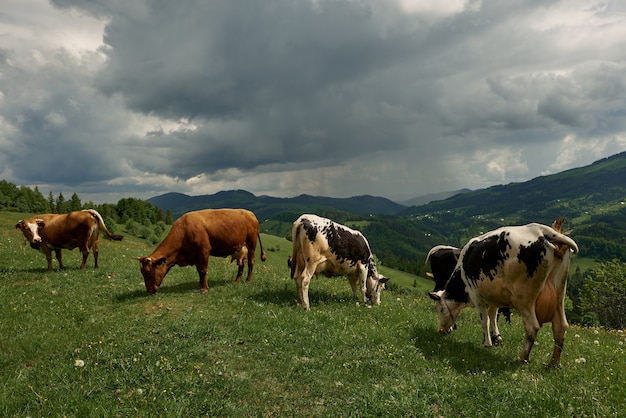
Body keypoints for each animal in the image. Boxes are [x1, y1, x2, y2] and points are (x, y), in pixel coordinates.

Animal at [426, 220, 576, 368]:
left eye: (440, 309)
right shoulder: (494, 297)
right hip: (559, 293)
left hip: (524, 298)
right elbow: (493, 316)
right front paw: (496, 338)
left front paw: (487, 343)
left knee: (532, 327)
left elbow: (484, 320)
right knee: (560, 326)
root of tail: (542, 231)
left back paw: (523, 358)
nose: (441, 330)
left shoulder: (476, 295)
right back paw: (554, 363)